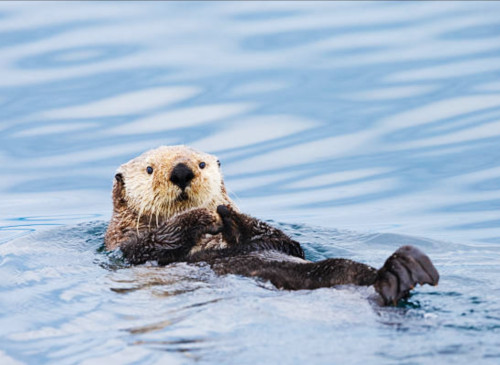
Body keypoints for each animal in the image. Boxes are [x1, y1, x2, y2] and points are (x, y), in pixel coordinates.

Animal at [105, 145, 438, 304]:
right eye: (149, 169)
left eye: (201, 164)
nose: (182, 171)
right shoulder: (128, 249)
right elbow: (154, 244)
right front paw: (203, 216)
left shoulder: (282, 243)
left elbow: (284, 242)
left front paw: (227, 214)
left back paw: (406, 269)